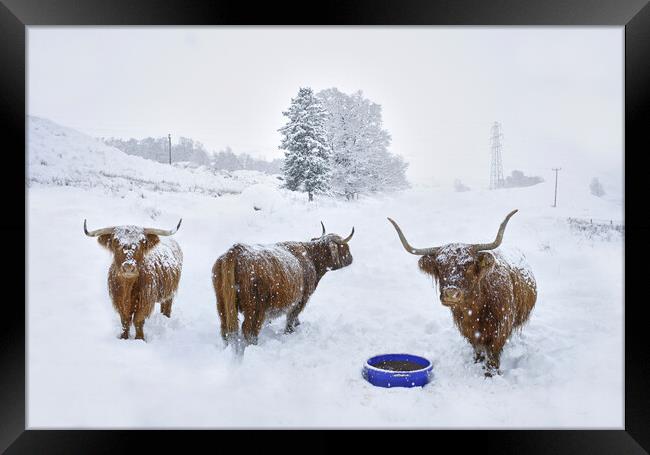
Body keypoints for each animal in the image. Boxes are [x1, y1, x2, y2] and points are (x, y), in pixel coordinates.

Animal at [211, 223, 354, 350]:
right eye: (344, 247)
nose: (351, 259)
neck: (311, 258)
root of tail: (236, 251)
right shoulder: (301, 299)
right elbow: (291, 317)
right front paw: (290, 331)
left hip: (222, 304)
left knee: (226, 330)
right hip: (256, 307)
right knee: (249, 331)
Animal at [388, 211, 536, 378]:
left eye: (469, 264)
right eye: (439, 265)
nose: (451, 293)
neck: (476, 308)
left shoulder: (500, 327)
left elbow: (493, 352)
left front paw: (491, 373)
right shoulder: (468, 329)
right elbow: (477, 348)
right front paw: (477, 362)